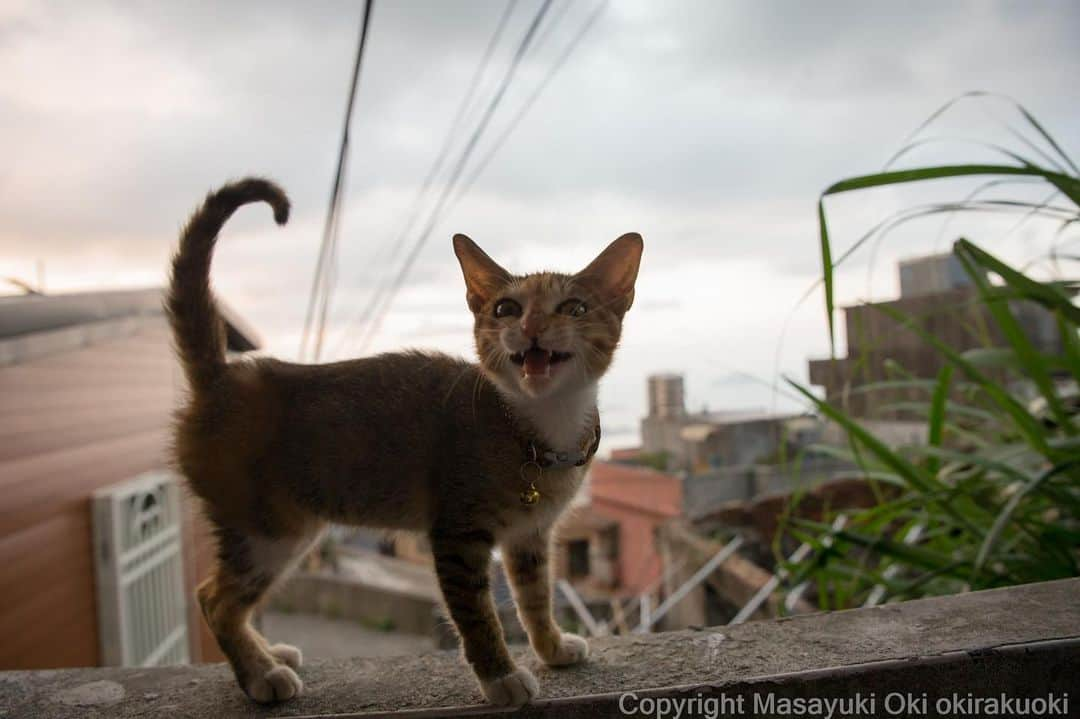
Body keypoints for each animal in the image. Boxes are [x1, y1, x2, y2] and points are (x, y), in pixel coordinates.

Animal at [166, 175, 639, 703]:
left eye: (575, 308)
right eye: (506, 308)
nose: (531, 326)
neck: (534, 424)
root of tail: (222, 378)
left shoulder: (530, 536)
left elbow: (534, 597)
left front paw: (552, 647)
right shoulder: (458, 533)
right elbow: (477, 615)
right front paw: (501, 676)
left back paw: (268, 653)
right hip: (267, 528)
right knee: (215, 599)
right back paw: (260, 674)